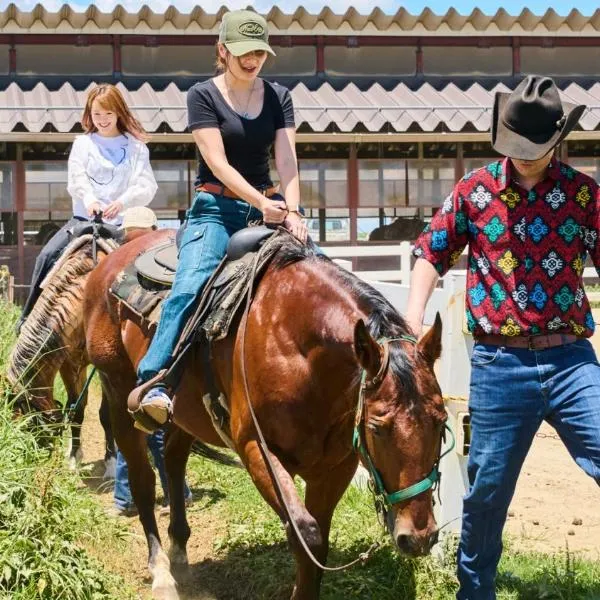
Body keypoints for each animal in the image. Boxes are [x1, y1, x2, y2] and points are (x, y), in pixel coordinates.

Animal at [83, 227, 446, 596]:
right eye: (375, 427)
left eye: (442, 423)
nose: (418, 537)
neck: (299, 351)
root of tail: (109, 262)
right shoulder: (256, 449)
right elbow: (306, 534)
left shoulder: (336, 466)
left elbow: (319, 544)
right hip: (117, 392)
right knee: (143, 480)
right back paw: (161, 572)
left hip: (185, 414)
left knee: (173, 461)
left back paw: (180, 551)